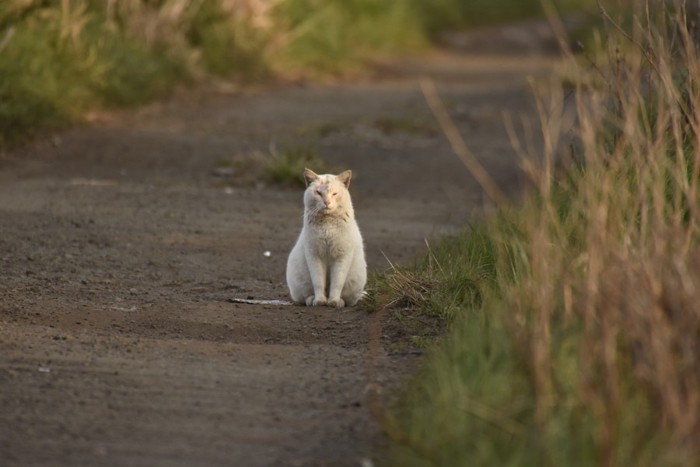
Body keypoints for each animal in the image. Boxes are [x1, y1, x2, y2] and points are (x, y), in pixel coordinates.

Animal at [288, 168, 370, 308]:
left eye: (335, 193)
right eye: (318, 193)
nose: (327, 202)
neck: (327, 224)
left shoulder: (342, 257)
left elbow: (337, 282)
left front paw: (334, 301)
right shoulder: (314, 256)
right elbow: (318, 282)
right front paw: (320, 300)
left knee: (349, 300)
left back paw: (340, 301)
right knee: (304, 297)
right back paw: (311, 300)